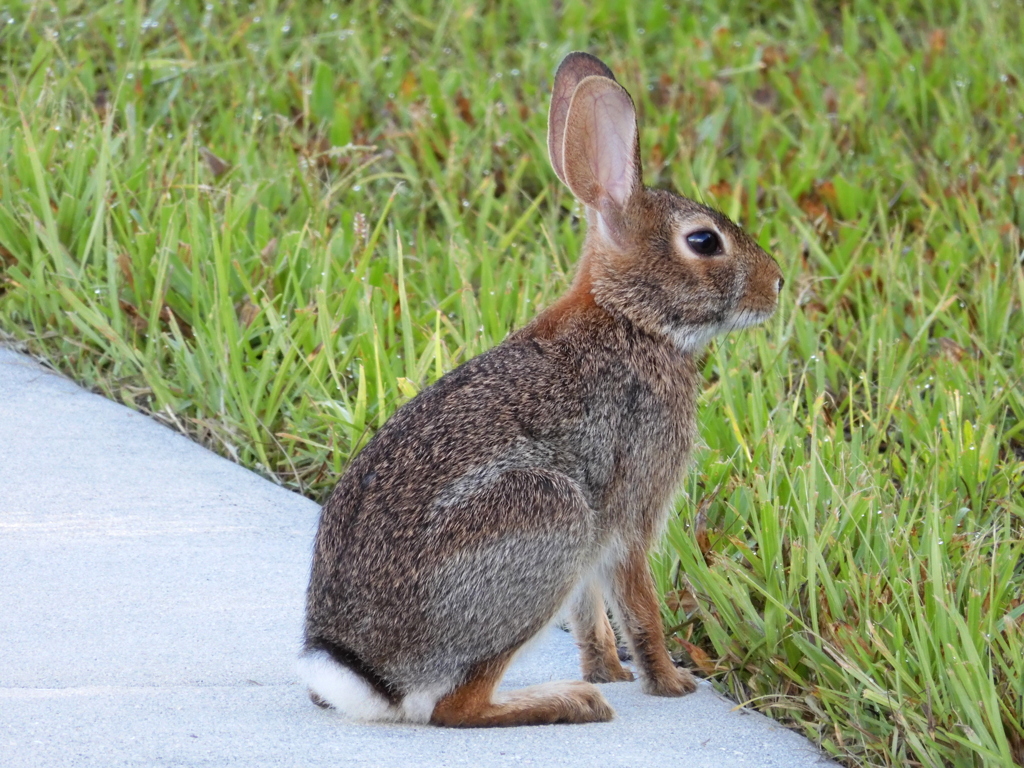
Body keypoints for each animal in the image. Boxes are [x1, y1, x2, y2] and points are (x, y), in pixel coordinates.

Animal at [299, 52, 782, 729]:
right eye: (704, 241)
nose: (778, 284)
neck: (631, 317)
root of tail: (367, 677)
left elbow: (590, 613)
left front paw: (611, 671)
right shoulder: (630, 508)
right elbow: (638, 603)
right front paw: (669, 684)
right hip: (549, 521)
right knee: (458, 707)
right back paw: (571, 702)